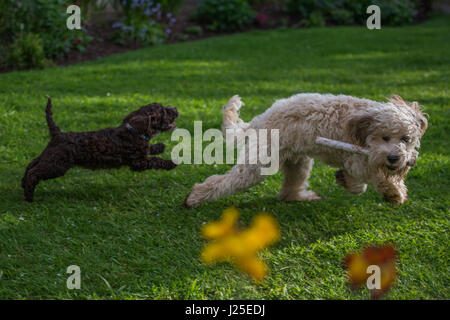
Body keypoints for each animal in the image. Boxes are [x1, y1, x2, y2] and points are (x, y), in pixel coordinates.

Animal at [184, 92, 428, 208]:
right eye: (385, 137)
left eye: (406, 139)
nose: (394, 158)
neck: (362, 125)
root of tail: (258, 120)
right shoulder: (358, 159)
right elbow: (376, 177)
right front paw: (394, 193)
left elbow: (359, 184)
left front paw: (346, 181)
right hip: (258, 167)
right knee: (220, 182)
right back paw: (194, 198)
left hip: (298, 163)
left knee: (287, 192)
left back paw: (302, 197)